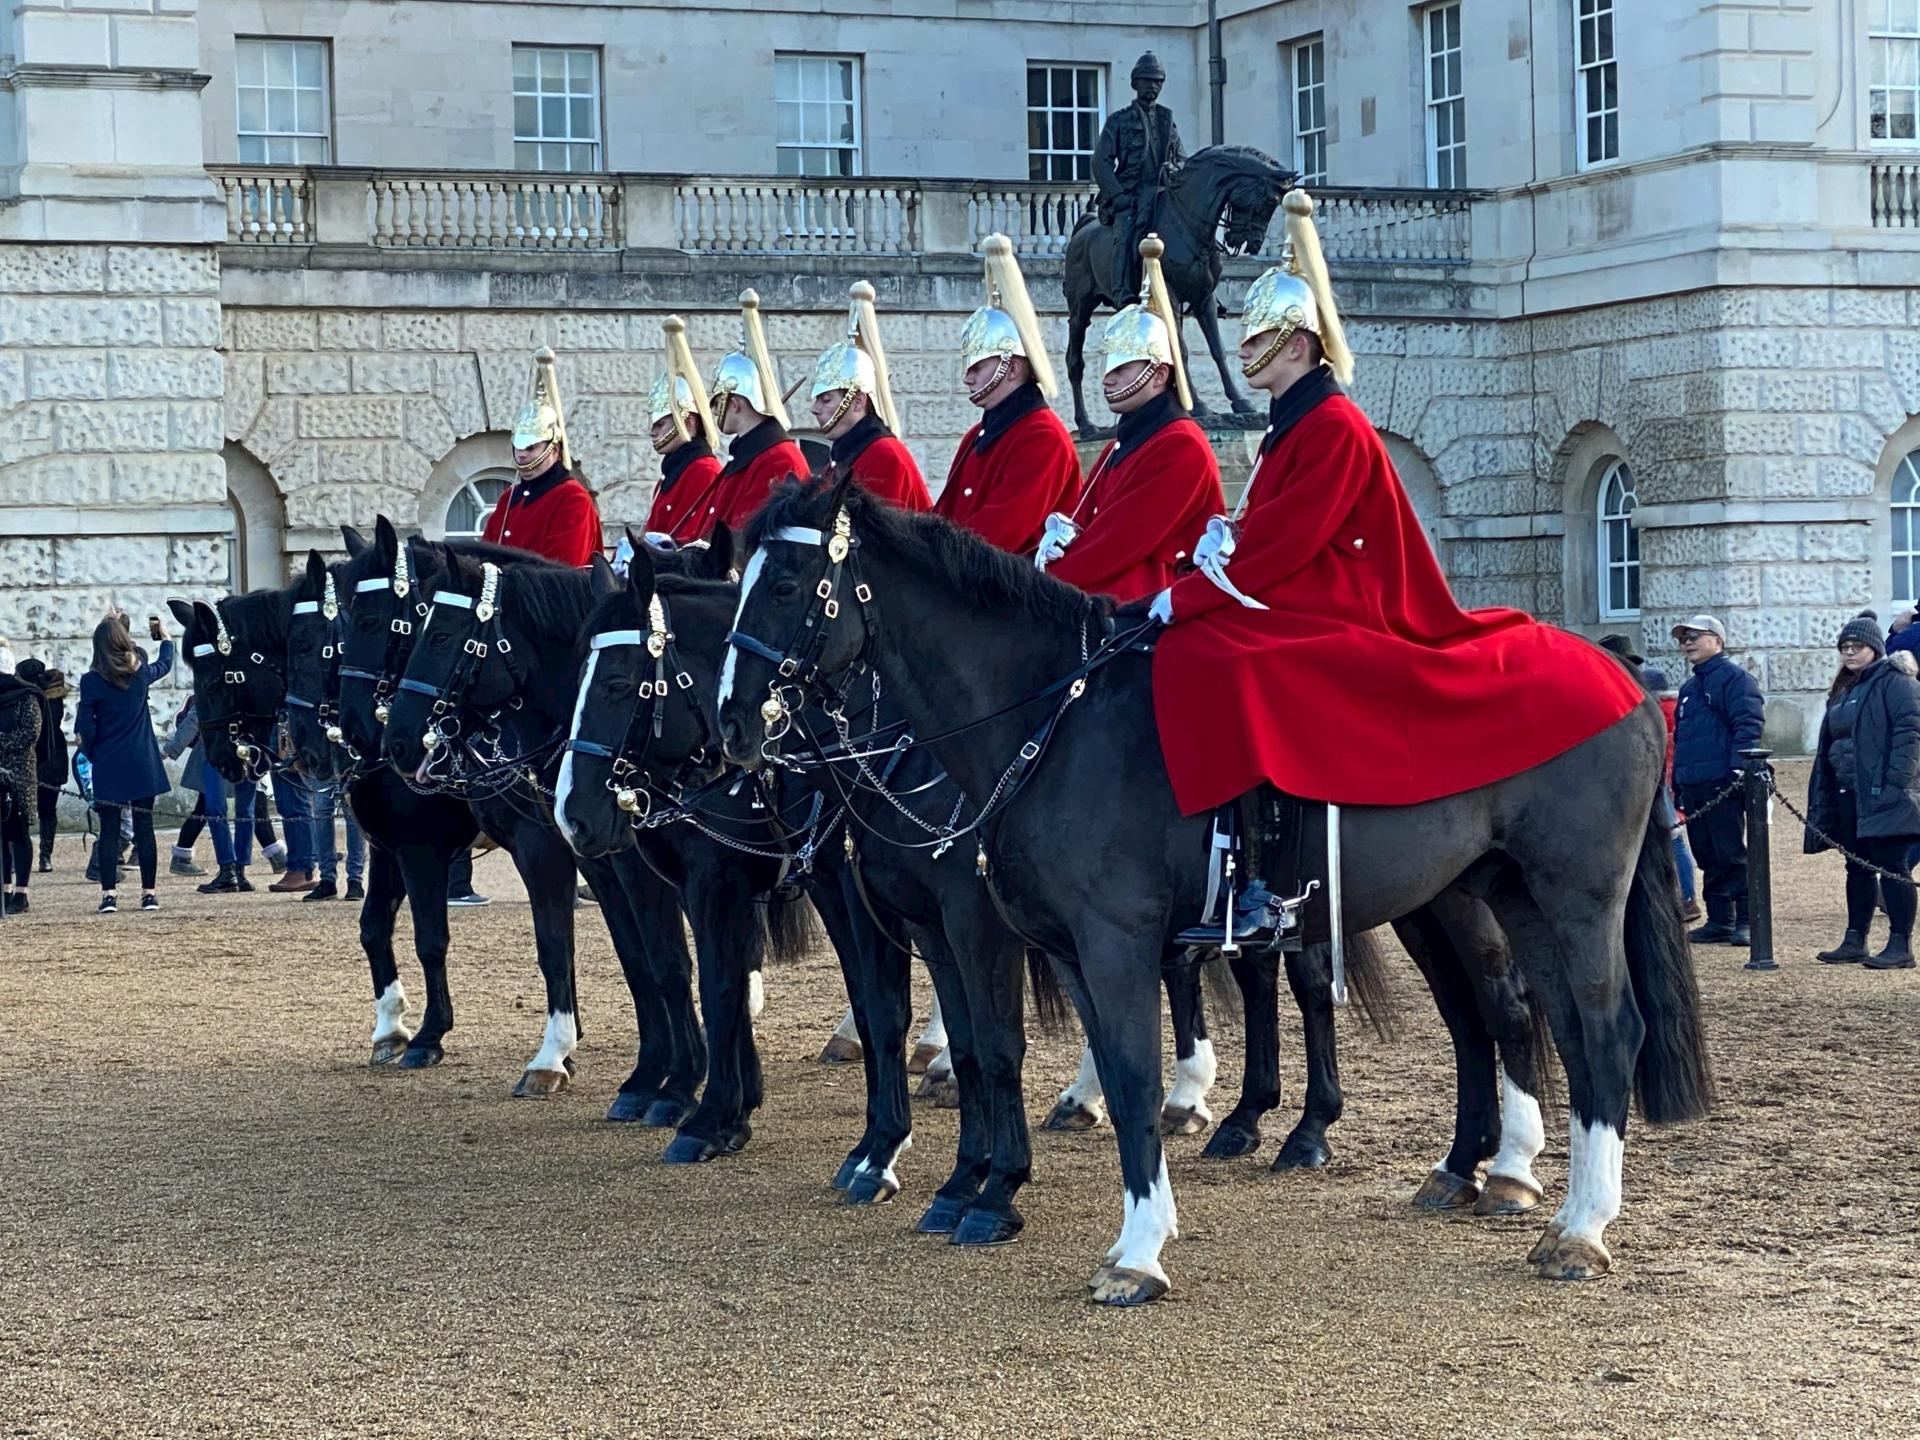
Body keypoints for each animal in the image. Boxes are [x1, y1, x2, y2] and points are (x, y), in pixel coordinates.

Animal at [718, 481, 1712, 1305]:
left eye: (788, 582)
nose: (733, 727)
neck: (1050, 717)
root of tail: (1624, 673)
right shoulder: (1059, 948)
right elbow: (1092, 1073)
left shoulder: (1082, 938)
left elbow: (1097, 1066)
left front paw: (1123, 1246)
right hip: (1496, 895)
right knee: (1532, 1025)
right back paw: (1505, 1183)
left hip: (1574, 895)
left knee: (1601, 1028)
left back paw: (1578, 1226)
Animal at [1059, 146, 1297, 443]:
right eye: (1267, 201)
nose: (1251, 243)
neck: (1187, 226)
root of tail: (1085, 225)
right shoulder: (1170, 296)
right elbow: (1180, 349)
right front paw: (1198, 406)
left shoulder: (1203, 298)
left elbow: (1217, 350)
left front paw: (1239, 402)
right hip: (1080, 308)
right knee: (1074, 362)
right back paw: (1087, 425)